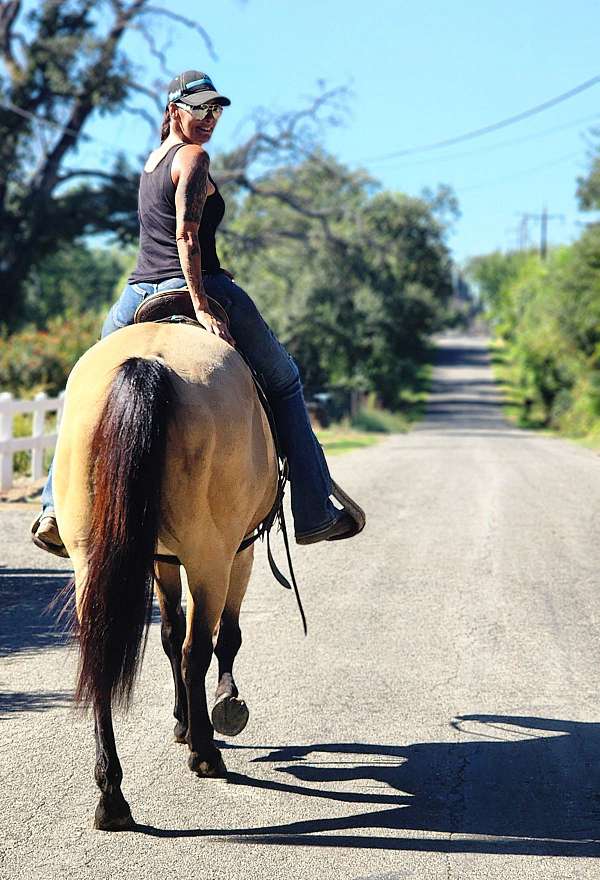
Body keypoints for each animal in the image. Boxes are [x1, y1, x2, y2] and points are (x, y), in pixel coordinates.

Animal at [52, 318, 278, 832]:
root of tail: (148, 363)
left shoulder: (160, 559)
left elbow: (170, 634)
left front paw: (181, 721)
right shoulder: (238, 552)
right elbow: (222, 637)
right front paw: (222, 707)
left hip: (91, 560)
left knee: (102, 653)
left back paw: (112, 796)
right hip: (210, 557)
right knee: (199, 649)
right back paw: (206, 754)